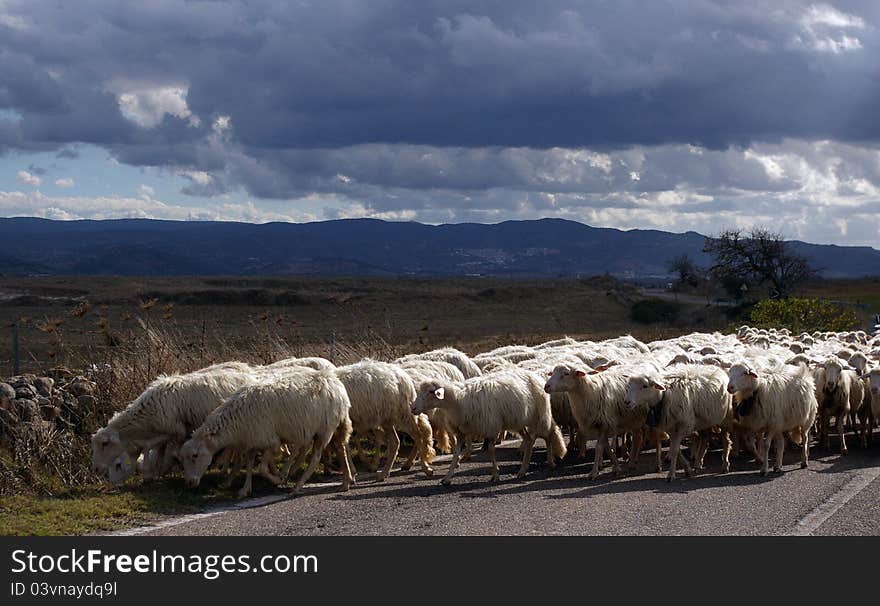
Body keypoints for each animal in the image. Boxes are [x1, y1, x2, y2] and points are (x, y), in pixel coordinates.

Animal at [93, 370, 254, 484]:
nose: (96, 469)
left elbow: (172, 452)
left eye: (104, 444)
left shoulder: (178, 433)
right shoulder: (163, 434)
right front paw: (153, 474)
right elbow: (158, 451)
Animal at [179, 368, 354, 502]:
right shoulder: (253, 440)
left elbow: (262, 468)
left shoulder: (270, 441)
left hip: (324, 429)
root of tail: (336, 384)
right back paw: (346, 482)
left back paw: (297, 486)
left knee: (316, 457)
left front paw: (279, 480)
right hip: (334, 426)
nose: (188, 483)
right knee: (340, 449)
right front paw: (245, 490)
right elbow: (249, 463)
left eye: (194, 456)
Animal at [410, 368, 564, 486]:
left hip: (538, 415)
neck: (457, 401)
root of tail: (534, 375)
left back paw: (551, 462)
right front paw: (447, 478)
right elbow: (455, 455)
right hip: (517, 420)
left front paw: (495, 474)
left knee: (548, 434)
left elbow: (491, 450)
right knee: (529, 440)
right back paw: (523, 470)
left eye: (430, 392)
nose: (413, 408)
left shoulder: (491, 426)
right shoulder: (461, 432)